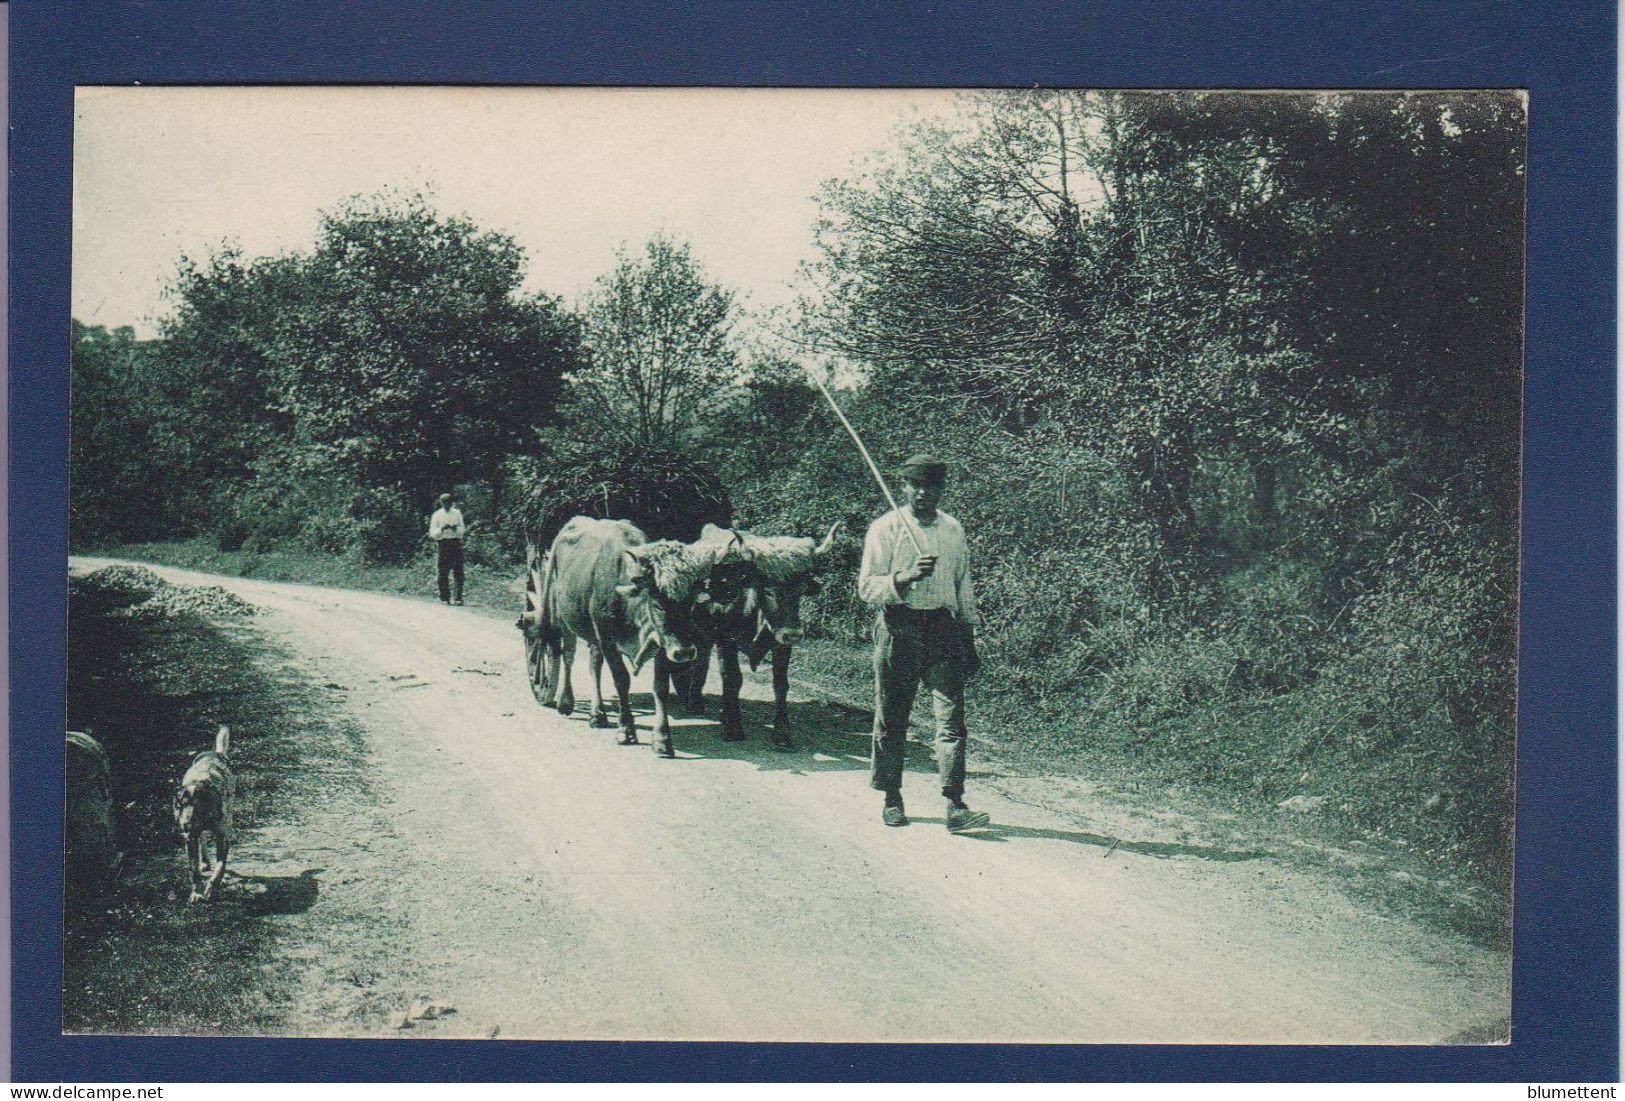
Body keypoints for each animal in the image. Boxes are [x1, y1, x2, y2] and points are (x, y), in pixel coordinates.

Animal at [171, 724, 235, 902]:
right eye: (179, 806)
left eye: (196, 806)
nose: (184, 825)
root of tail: (215, 752)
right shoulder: (190, 838)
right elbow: (194, 871)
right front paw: (196, 892)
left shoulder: (222, 837)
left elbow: (220, 867)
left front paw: (211, 889)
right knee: (203, 841)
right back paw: (205, 862)